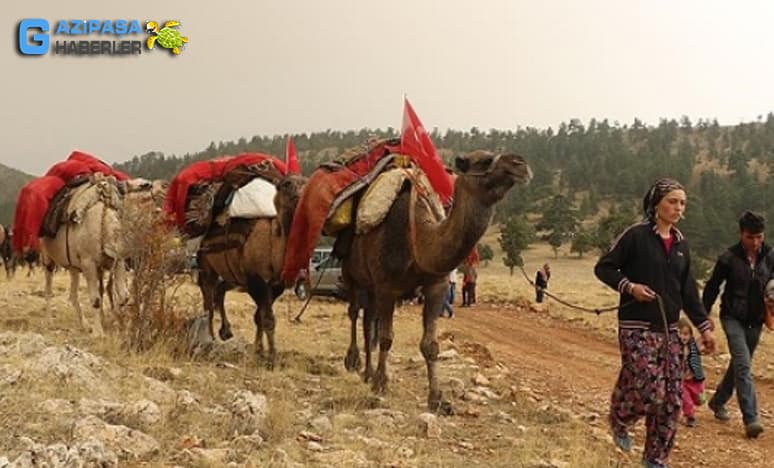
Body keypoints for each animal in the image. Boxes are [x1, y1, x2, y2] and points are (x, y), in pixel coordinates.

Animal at [41, 174, 130, 334]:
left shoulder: (117, 261)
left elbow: (124, 296)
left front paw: (119, 324)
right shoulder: (89, 263)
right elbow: (95, 299)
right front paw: (98, 332)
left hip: (73, 266)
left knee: (73, 294)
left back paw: (84, 324)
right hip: (47, 257)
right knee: (48, 289)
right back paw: (48, 322)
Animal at [199, 174, 308, 368]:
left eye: (307, 182)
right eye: (287, 184)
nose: (301, 196)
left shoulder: (275, 285)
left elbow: (259, 316)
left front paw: (259, 351)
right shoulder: (255, 279)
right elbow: (267, 319)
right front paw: (271, 359)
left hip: (233, 276)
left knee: (220, 291)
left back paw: (225, 331)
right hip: (207, 266)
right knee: (208, 301)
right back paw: (210, 338)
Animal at [342, 150, 532, 414]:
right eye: (484, 160)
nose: (520, 163)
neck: (417, 240)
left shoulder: (436, 287)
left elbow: (430, 345)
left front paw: (438, 399)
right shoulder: (387, 288)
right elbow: (387, 338)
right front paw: (381, 384)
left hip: (370, 286)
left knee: (368, 320)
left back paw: (367, 373)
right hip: (351, 274)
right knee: (353, 313)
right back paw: (354, 362)